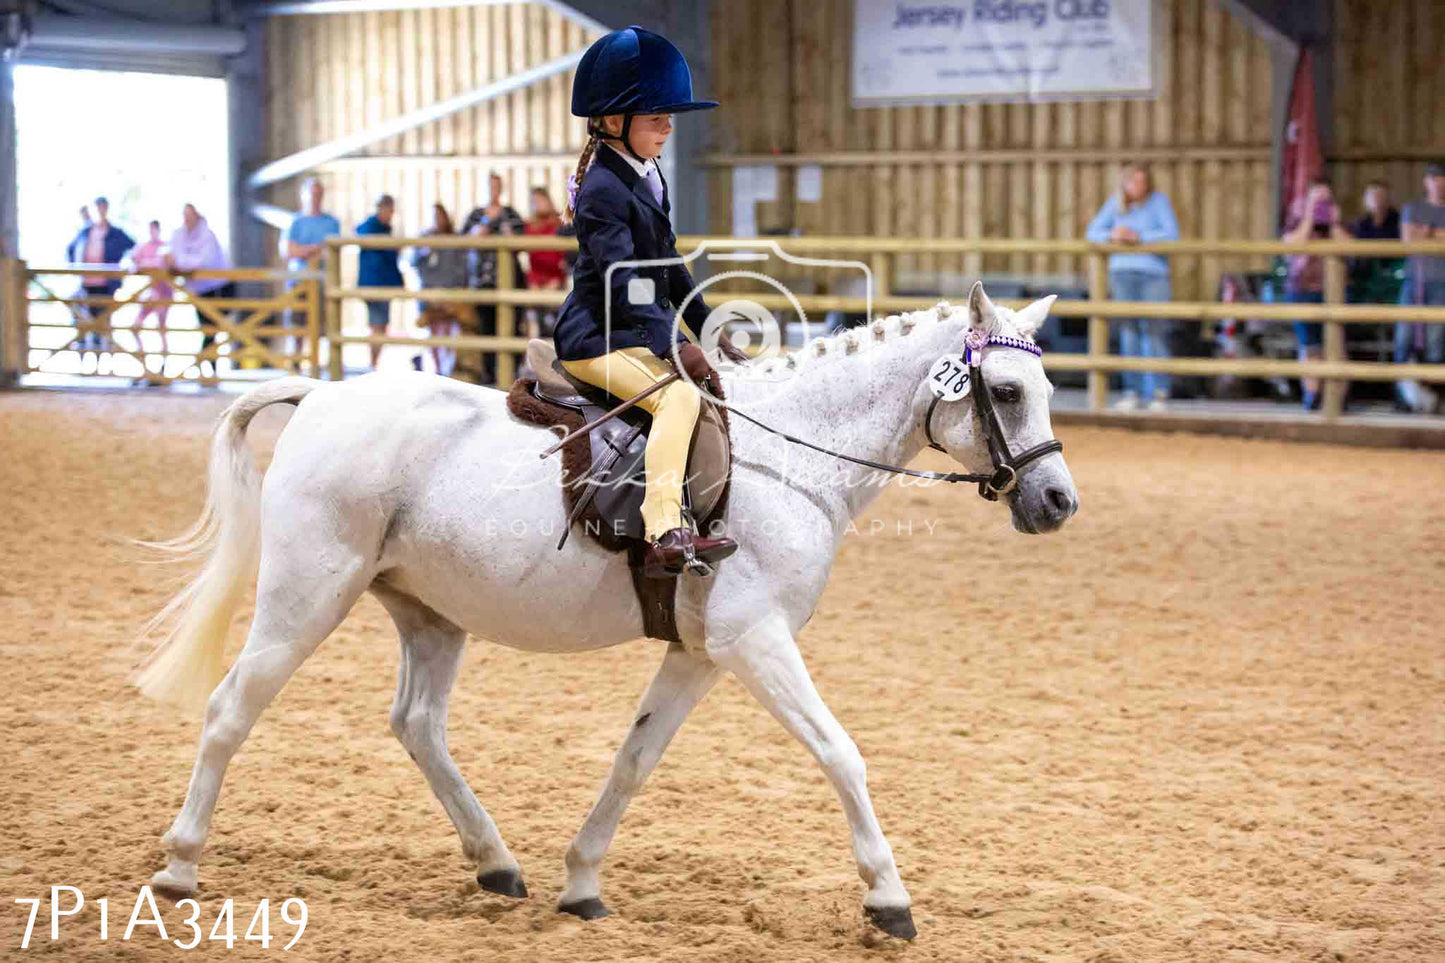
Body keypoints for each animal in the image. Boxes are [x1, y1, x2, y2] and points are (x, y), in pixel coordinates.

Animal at [140, 279, 1075, 936]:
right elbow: (841, 754)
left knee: (416, 725)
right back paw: (179, 868)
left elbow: (633, 760)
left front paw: (582, 880)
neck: (791, 457)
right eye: (1005, 390)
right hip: (306, 596)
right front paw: (887, 897)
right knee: (229, 709)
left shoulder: (698, 653)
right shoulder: (754, 639)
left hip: (428, 610)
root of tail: (319, 395)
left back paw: (495, 862)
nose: (1058, 501)